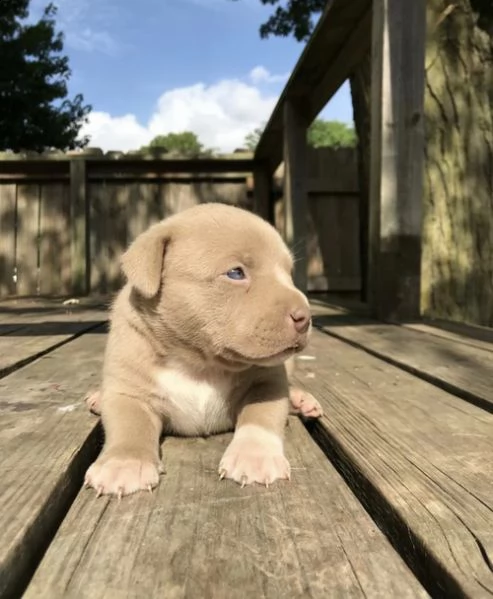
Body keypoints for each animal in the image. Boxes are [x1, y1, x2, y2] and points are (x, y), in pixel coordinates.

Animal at [83, 202, 322, 496]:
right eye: (235, 273)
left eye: (288, 273)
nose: (305, 317)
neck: (199, 363)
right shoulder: (129, 393)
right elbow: (130, 425)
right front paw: (124, 464)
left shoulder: (268, 383)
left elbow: (261, 418)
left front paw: (254, 457)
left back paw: (301, 400)